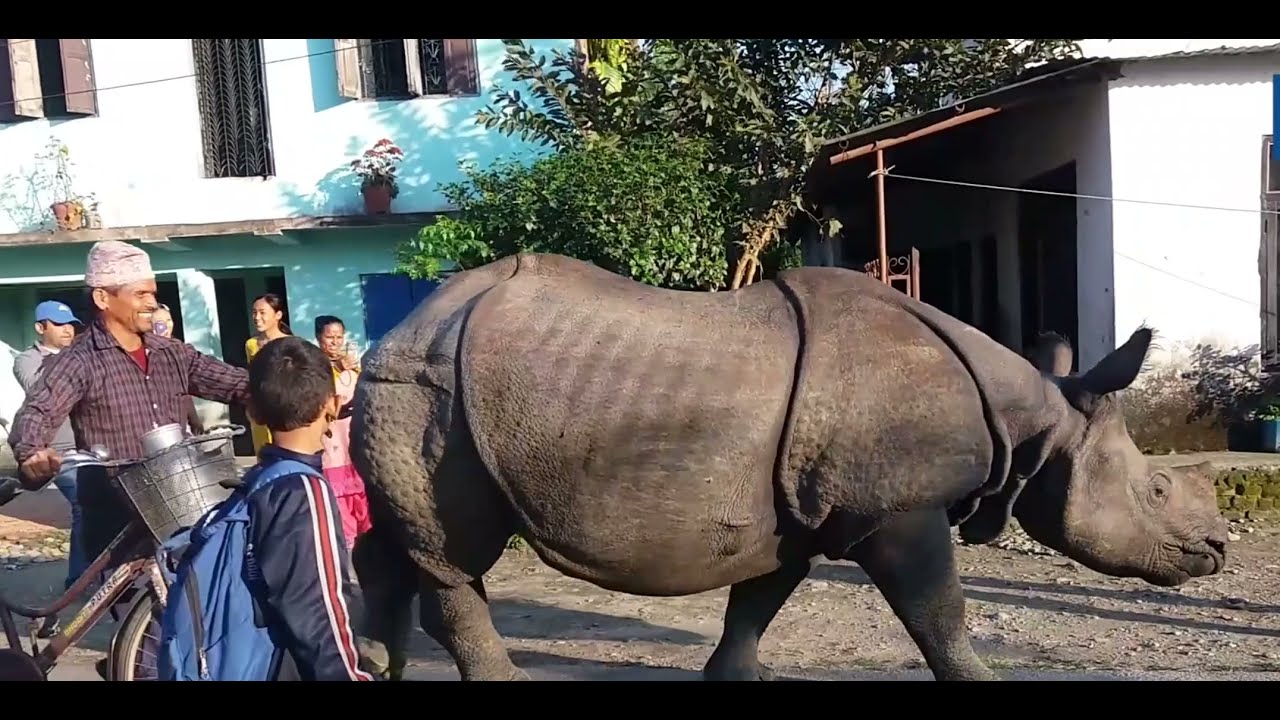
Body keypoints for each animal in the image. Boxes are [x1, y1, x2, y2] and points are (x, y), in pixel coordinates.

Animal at [347, 252, 1228, 682]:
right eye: (1156, 489)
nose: (1218, 549)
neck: (1036, 421)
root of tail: (397, 329)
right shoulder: (897, 509)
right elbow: (939, 614)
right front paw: (979, 679)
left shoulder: (799, 516)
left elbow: (757, 603)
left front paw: (733, 678)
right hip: (431, 394)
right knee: (455, 551)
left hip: (417, 391)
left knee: (402, 541)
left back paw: (376, 663)